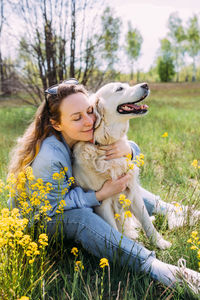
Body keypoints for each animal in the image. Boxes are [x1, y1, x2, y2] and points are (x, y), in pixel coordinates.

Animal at [72, 81, 171, 250]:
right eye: (119, 89)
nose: (146, 84)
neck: (104, 143)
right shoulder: (102, 202)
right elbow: (113, 230)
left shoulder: (133, 191)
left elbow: (146, 221)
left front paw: (160, 242)